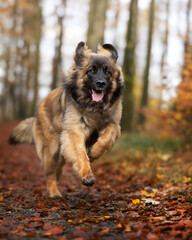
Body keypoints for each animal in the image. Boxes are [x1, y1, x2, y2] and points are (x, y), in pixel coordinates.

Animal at [9, 42, 124, 197]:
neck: (94, 108)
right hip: (51, 151)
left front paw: (94, 152)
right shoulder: (74, 132)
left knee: (59, 168)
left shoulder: (112, 124)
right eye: (91, 70)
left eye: (108, 72)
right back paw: (54, 192)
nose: (101, 83)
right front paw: (87, 175)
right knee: (50, 174)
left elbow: (105, 139)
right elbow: (80, 154)